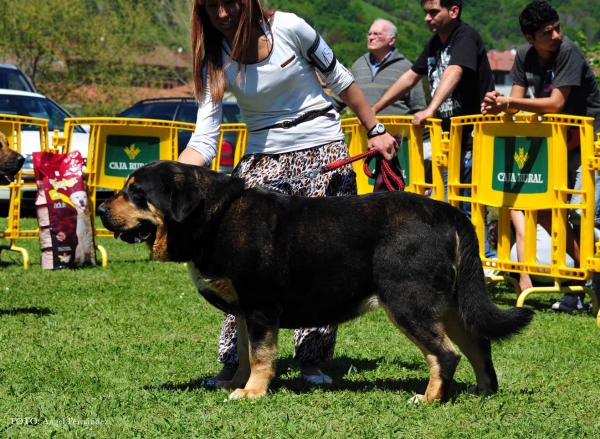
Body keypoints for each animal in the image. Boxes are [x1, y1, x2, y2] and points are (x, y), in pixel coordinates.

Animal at [99, 161, 536, 402]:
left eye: (136, 192)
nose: (101, 208)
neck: (216, 216)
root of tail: (450, 213)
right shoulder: (243, 311)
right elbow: (243, 353)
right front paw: (235, 384)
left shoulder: (261, 308)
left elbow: (261, 355)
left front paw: (252, 393)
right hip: (449, 304)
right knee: (478, 345)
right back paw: (482, 390)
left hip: (407, 301)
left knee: (445, 354)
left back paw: (429, 399)